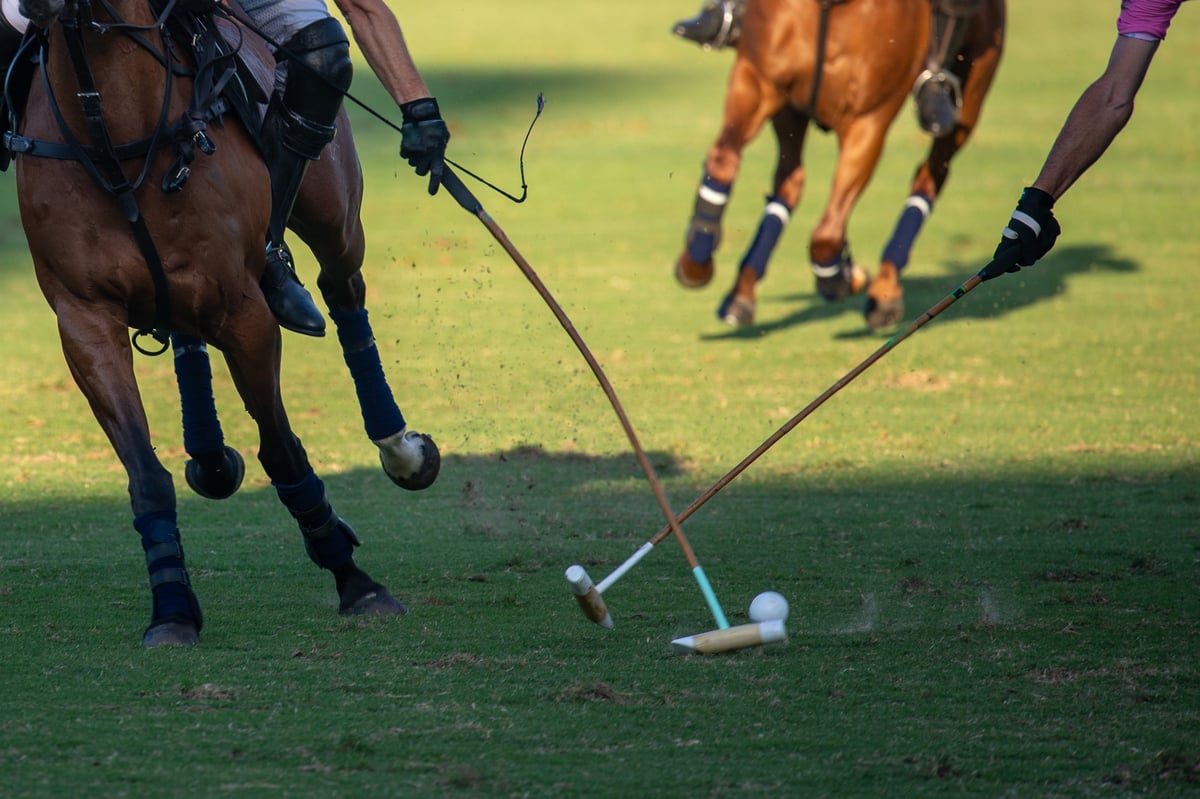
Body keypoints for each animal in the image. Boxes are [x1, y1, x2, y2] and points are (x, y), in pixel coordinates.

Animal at [12, 0, 428, 646]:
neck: (115, 131)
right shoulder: (84, 318)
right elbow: (145, 474)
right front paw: (172, 609)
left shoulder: (244, 314)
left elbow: (282, 452)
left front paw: (355, 580)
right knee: (187, 336)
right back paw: (209, 452)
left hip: (335, 218)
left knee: (344, 290)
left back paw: (398, 445)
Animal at [674, 0, 1005, 330]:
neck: (829, 7)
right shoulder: (757, 80)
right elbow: (721, 161)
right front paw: (694, 264)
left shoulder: (869, 120)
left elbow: (825, 237)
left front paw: (844, 277)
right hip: (790, 112)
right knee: (790, 180)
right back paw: (740, 294)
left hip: (970, 97)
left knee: (930, 174)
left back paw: (884, 292)